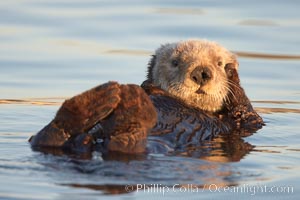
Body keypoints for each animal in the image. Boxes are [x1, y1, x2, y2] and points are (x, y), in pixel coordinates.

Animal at [28, 39, 262, 155]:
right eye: (175, 62)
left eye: (219, 63)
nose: (202, 72)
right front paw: (144, 88)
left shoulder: (244, 123)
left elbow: (248, 114)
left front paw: (232, 74)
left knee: (124, 147)